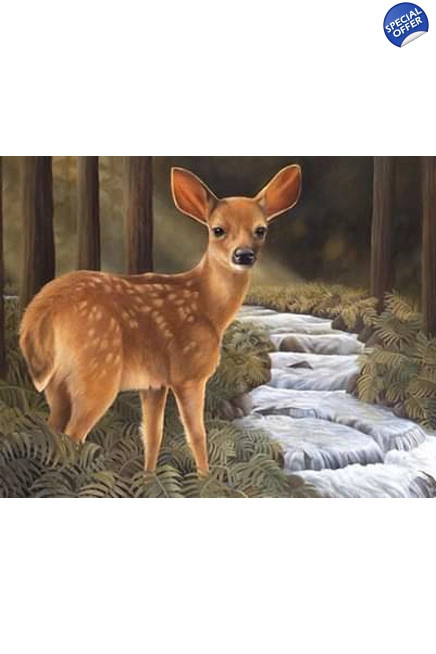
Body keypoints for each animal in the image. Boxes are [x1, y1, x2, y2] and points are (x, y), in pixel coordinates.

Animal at [19, 164, 302, 475]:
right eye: (218, 230)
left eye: (261, 230)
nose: (244, 255)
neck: (208, 308)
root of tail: (40, 311)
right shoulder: (188, 373)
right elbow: (196, 434)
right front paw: (205, 479)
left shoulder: (153, 383)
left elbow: (153, 434)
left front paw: (148, 476)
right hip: (96, 368)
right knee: (73, 433)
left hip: (58, 382)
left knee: (53, 430)